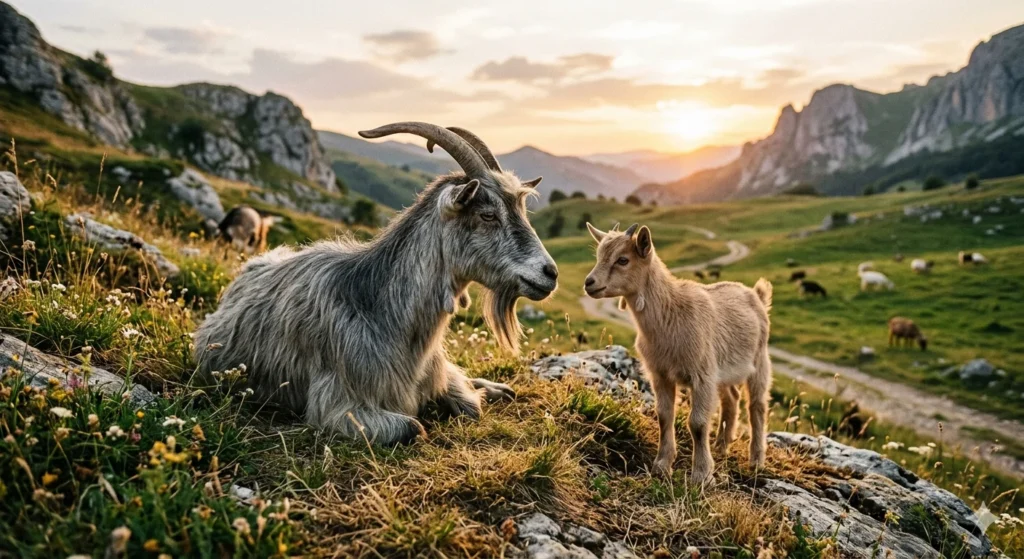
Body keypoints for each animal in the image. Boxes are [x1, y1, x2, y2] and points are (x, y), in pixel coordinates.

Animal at [195, 123, 557, 445]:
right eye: (487, 215)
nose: (549, 272)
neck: (382, 311)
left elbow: (468, 404)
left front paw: (483, 390)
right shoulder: (337, 405)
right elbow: (416, 427)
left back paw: (499, 388)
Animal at [584, 223, 772, 484]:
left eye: (622, 259)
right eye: (599, 255)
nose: (589, 283)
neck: (671, 313)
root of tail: (757, 295)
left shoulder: (701, 375)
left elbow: (698, 423)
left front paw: (702, 475)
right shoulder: (661, 374)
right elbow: (664, 416)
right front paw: (662, 465)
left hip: (759, 361)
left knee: (757, 406)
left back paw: (755, 461)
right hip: (722, 370)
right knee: (732, 398)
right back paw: (721, 447)